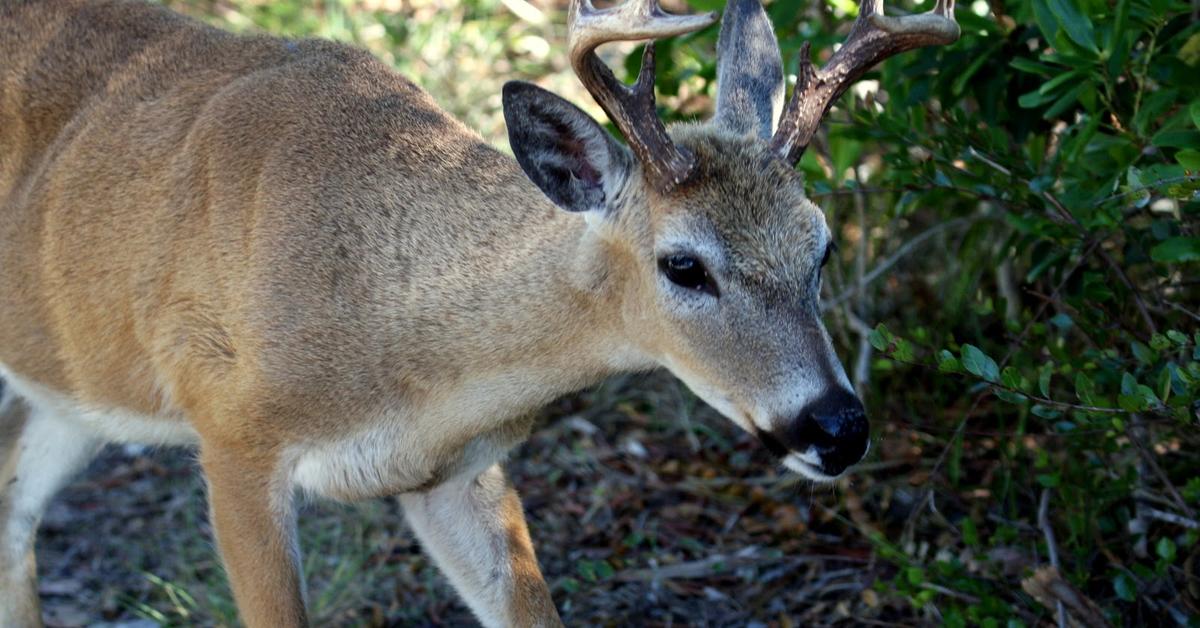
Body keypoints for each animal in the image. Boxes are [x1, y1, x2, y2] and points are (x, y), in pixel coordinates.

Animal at [0, 0, 955, 624]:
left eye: (821, 246)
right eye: (683, 266)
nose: (837, 427)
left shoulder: (456, 469)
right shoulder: (230, 429)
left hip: (70, 397)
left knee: (14, 514)